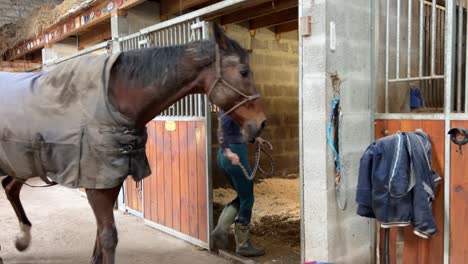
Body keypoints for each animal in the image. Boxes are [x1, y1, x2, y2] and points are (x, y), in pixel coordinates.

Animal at [0, 23, 266, 262]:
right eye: (244, 71)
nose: (261, 123)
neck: (114, 100)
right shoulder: (97, 186)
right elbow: (108, 238)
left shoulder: (111, 182)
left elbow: (100, 239)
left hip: (22, 163)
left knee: (10, 187)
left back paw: (22, 240)